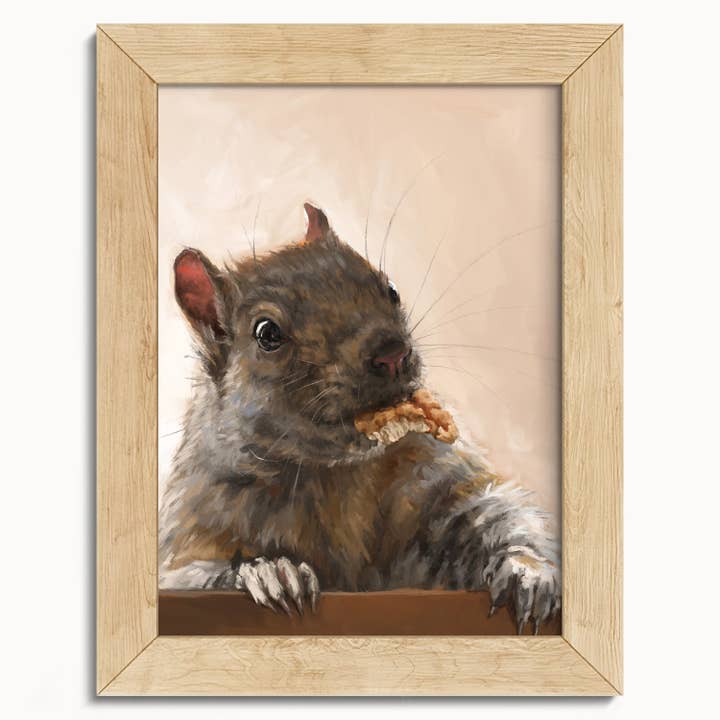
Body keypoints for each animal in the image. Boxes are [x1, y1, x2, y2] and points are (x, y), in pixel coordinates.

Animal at [159, 202, 560, 633]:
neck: (335, 473)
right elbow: (187, 573)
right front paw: (268, 572)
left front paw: (528, 570)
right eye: (267, 333)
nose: (392, 353)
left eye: (391, 289)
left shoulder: (432, 477)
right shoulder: (193, 527)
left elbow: (490, 509)